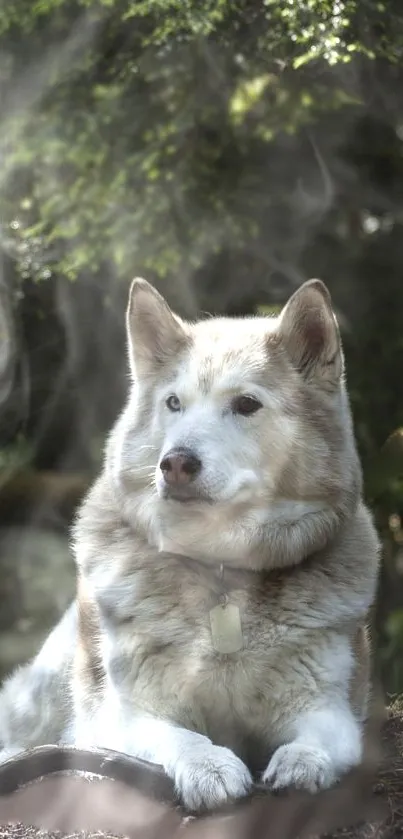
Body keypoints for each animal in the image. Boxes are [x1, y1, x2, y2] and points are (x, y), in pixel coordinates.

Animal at [0, 278, 380, 812]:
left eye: (246, 404)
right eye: (174, 403)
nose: (175, 463)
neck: (223, 577)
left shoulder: (330, 710)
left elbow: (315, 740)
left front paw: (301, 763)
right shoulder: (123, 720)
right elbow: (181, 736)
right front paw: (210, 767)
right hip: (46, 693)